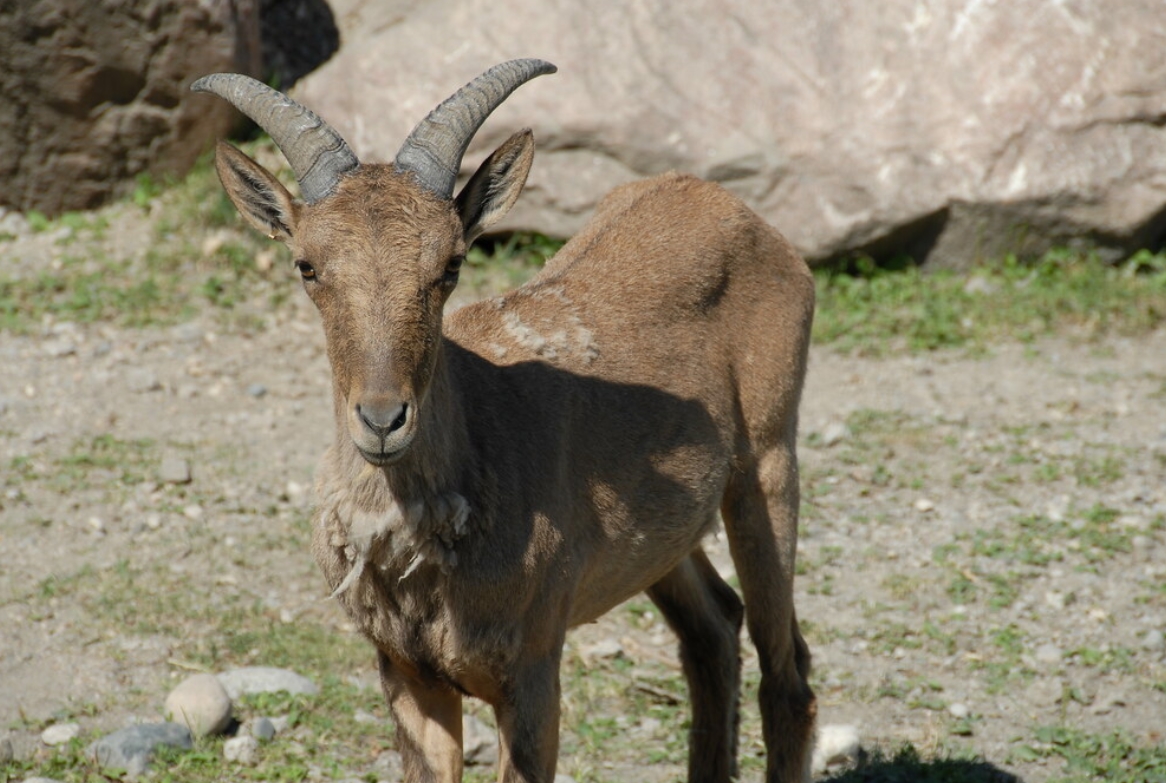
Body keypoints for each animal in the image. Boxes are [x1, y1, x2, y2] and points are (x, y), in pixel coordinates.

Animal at [192, 59, 816, 783]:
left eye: (451, 264)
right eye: (307, 265)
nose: (383, 419)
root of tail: (739, 213)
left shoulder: (532, 671)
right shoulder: (410, 674)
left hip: (766, 466)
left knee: (788, 676)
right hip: (667, 537)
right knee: (714, 626)